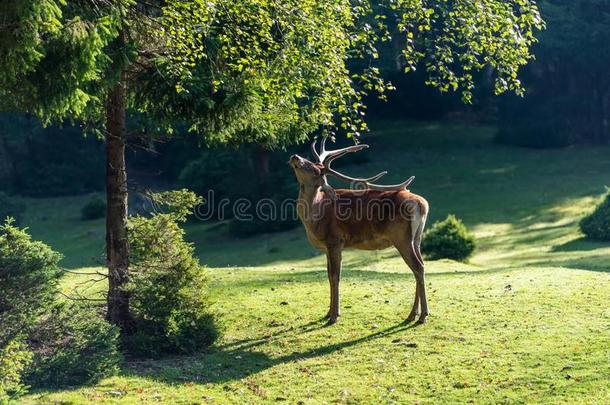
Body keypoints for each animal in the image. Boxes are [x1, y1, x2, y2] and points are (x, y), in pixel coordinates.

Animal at [288, 137, 428, 324]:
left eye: (316, 170)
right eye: (310, 162)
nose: (295, 156)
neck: (316, 217)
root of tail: (422, 204)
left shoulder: (335, 240)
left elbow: (335, 277)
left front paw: (334, 316)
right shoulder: (326, 247)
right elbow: (328, 276)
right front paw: (327, 313)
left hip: (401, 237)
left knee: (418, 267)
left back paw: (422, 315)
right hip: (417, 237)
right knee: (421, 265)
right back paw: (414, 314)